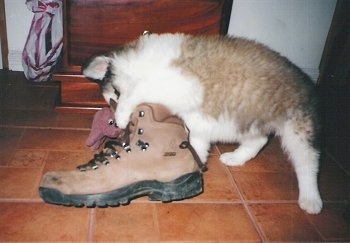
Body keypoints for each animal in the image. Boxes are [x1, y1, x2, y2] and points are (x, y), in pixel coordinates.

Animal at [82, 33, 322, 214]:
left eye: (116, 94)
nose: (115, 123)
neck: (144, 66)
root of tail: (308, 80)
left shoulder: (178, 82)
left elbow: (139, 90)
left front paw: (122, 115)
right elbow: (195, 143)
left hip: (296, 128)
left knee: (308, 161)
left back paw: (311, 198)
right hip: (247, 118)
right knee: (260, 139)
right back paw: (236, 158)